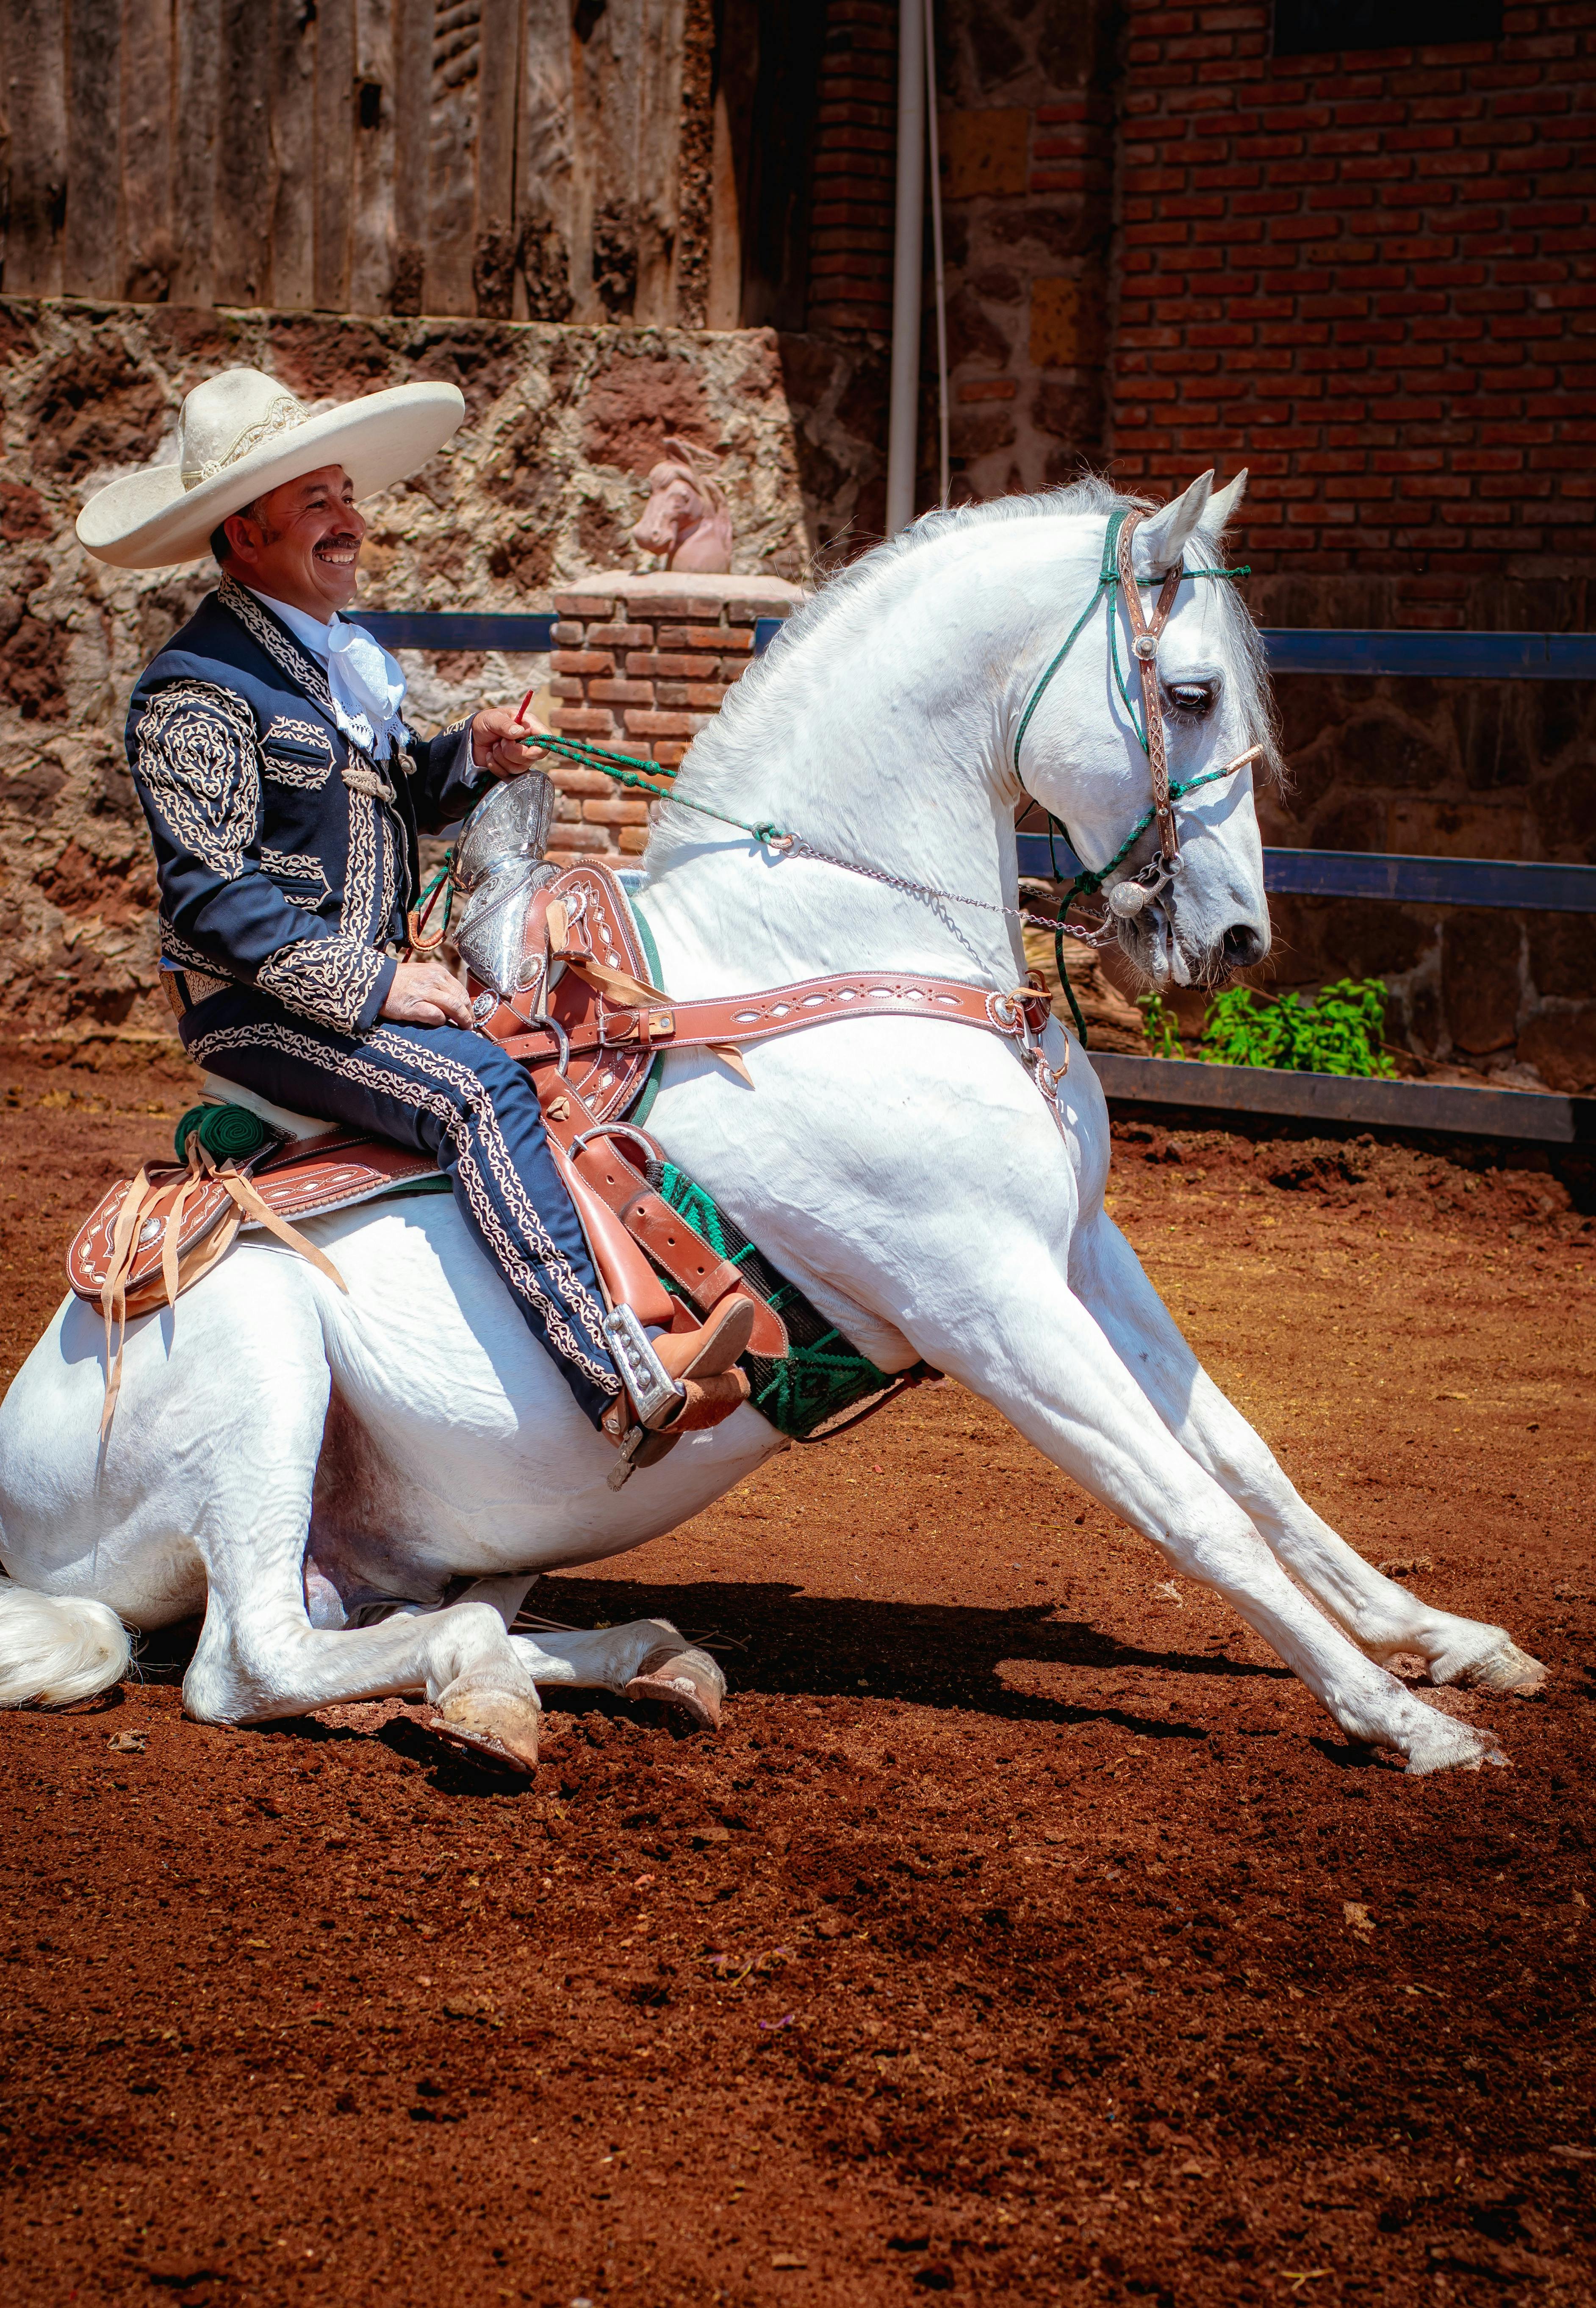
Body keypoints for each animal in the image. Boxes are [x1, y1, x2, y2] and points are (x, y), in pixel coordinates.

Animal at [0, 464, 1550, 1763]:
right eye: (1186, 693)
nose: (1234, 936)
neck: (838, 944)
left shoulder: (1079, 1251)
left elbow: (1249, 1460)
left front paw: (1451, 1642)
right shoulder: (986, 1303)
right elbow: (1194, 1511)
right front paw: (1402, 1719)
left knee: (396, 1615)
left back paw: (629, 1655)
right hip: (261, 1373)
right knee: (251, 1660)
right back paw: (507, 1684)